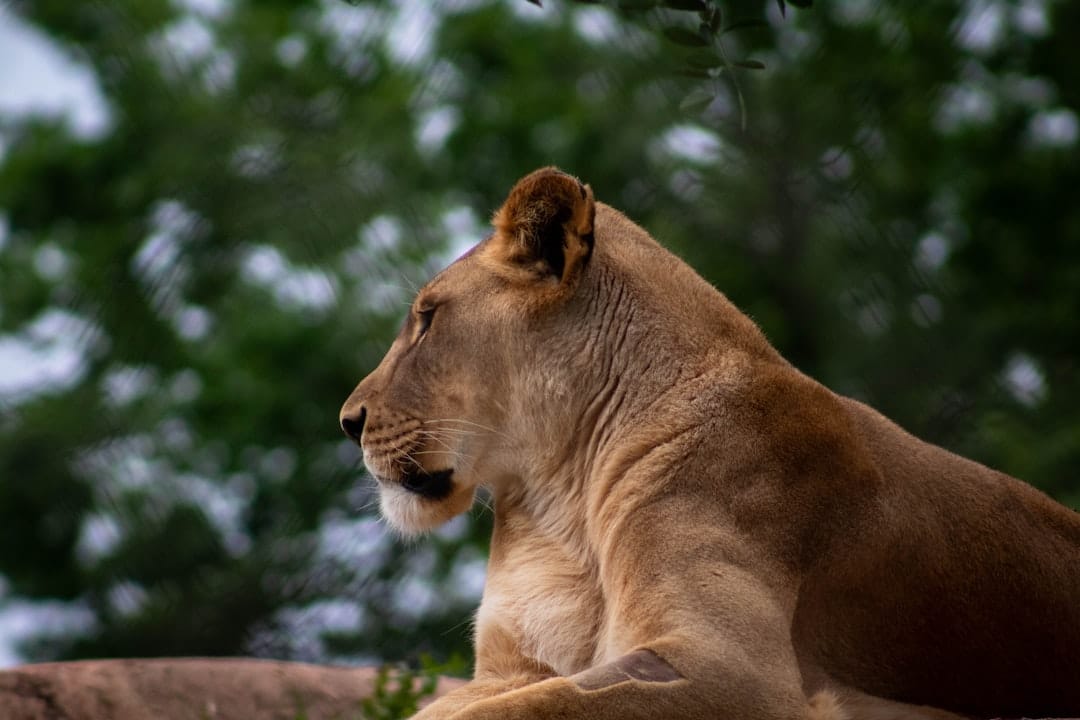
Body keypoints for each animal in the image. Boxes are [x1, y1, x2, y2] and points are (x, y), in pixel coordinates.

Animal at [339, 167, 1080, 719]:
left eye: (427, 320)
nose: (348, 420)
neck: (558, 499)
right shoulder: (512, 664)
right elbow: (461, 706)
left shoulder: (732, 670)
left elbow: (521, 709)